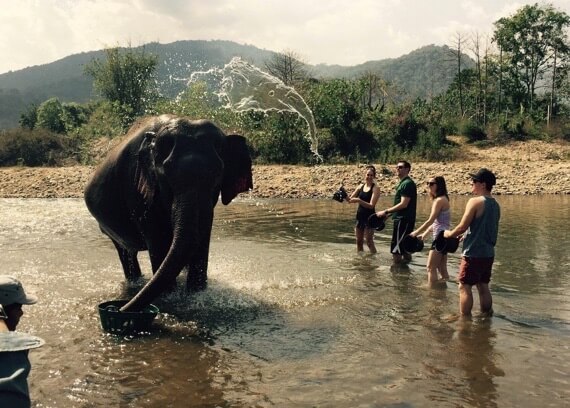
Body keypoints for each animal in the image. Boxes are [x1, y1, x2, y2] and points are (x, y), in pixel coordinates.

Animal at [83, 115, 252, 312]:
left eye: (218, 176)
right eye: (166, 178)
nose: (119, 309)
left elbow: (201, 239)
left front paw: (196, 294)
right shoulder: (138, 190)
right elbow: (158, 239)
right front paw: (170, 297)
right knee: (126, 253)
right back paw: (135, 283)